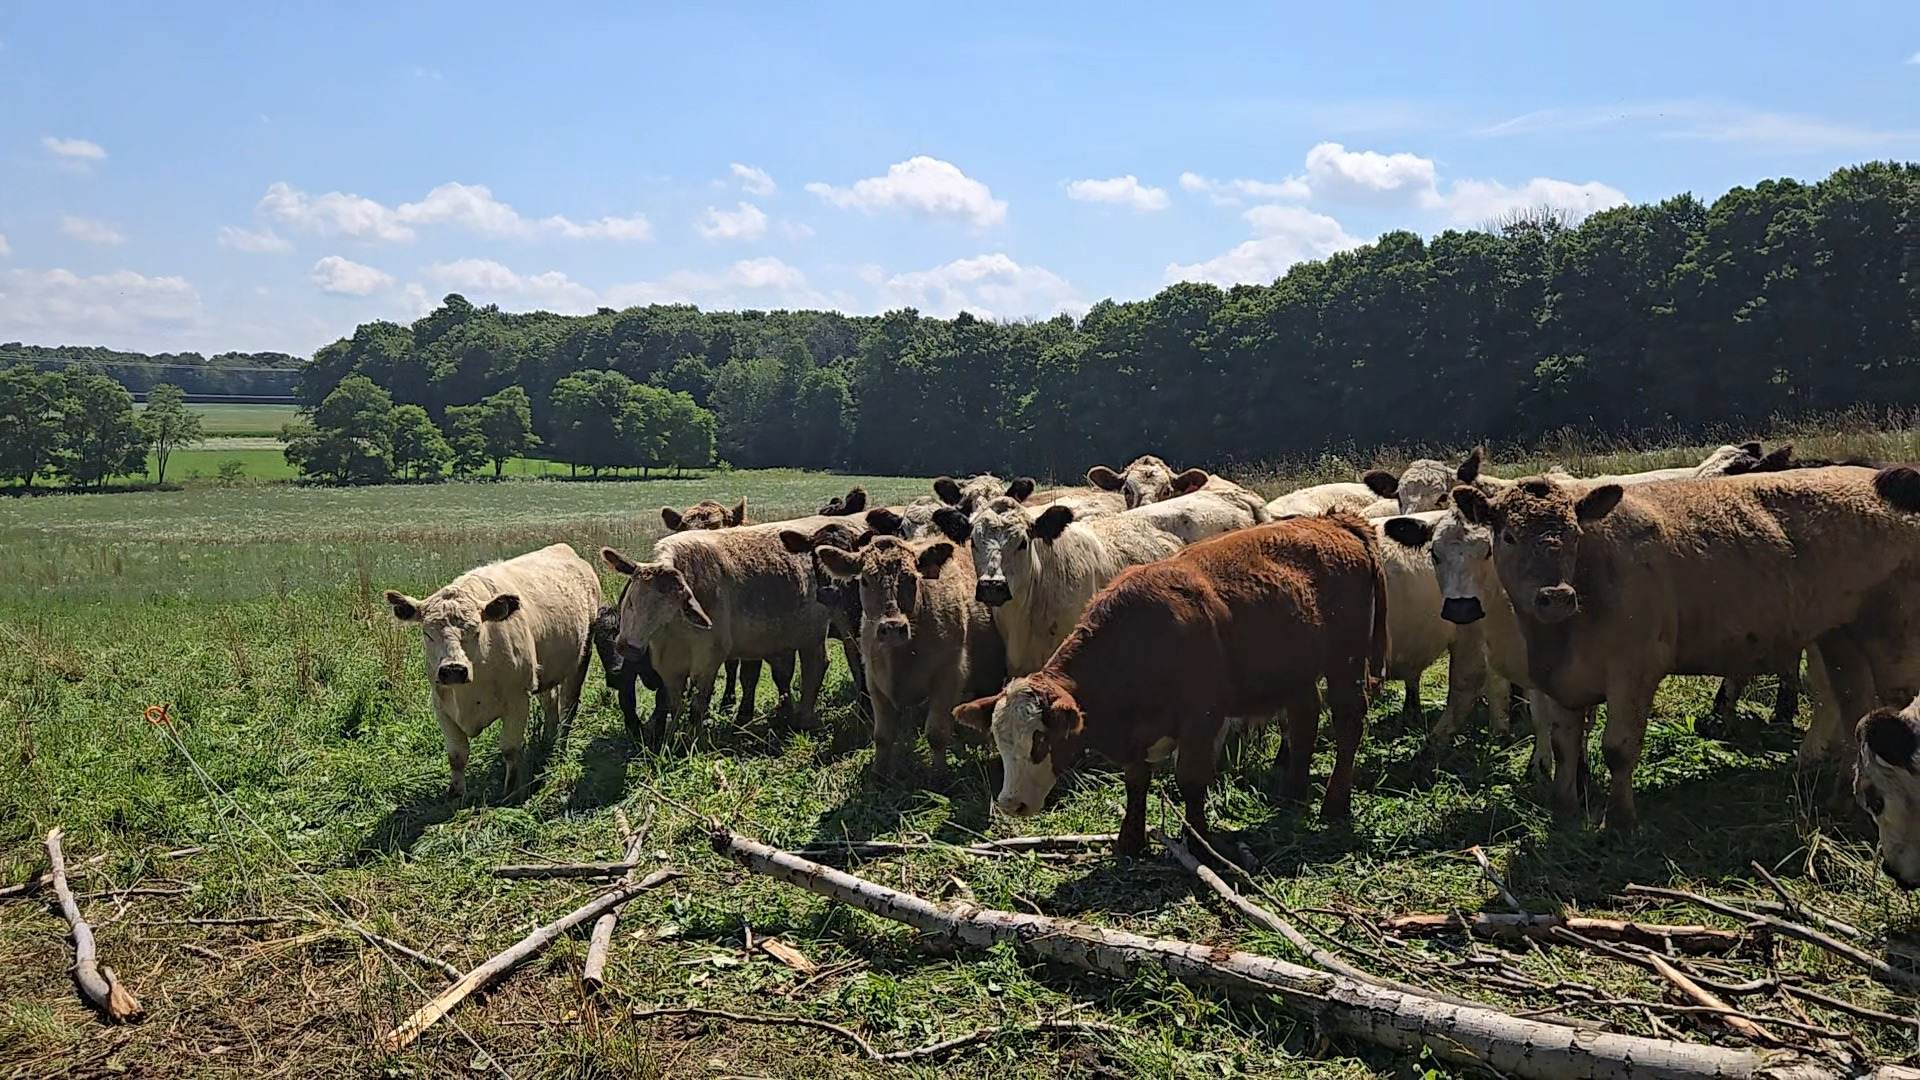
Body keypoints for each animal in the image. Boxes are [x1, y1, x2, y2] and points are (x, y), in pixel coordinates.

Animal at [385, 543, 599, 799]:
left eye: (476, 630)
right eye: (427, 633)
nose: (453, 669)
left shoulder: (518, 700)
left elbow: (510, 749)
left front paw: (510, 792)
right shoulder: (441, 707)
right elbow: (456, 755)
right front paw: (456, 794)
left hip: (581, 659)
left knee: (568, 707)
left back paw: (559, 746)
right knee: (551, 703)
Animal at [600, 515, 837, 748]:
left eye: (666, 609)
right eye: (631, 600)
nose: (627, 647)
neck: (674, 632)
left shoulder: (708, 661)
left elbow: (697, 705)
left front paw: (696, 742)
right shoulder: (668, 667)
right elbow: (673, 705)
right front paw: (671, 740)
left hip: (813, 636)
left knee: (814, 667)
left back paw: (804, 720)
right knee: (785, 672)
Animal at [810, 533, 1005, 777]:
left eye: (912, 579)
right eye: (864, 580)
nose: (893, 627)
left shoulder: (948, 678)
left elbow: (936, 733)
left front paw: (939, 774)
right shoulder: (874, 682)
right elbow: (882, 736)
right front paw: (878, 774)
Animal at [953, 513, 1387, 856]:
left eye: (1041, 740)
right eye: (1000, 740)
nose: (1010, 803)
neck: (1142, 639)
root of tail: (1336, 521)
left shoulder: (1201, 718)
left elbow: (1191, 780)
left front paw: (1198, 842)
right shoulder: (1135, 732)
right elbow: (1135, 780)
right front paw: (1130, 841)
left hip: (1346, 663)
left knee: (1348, 723)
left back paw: (1335, 803)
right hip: (1296, 670)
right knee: (1303, 721)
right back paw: (1292, 792)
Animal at [1451, 466, 1920, 829]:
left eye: (1573, 534)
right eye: (1508, 536)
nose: (1556, 596)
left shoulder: (1635, 669)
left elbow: (1618, 748)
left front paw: (1619, 820)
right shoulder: (1565, 681)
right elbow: (1566, 746)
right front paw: (1566, 809)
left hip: (1893, 637)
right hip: (1841, 636)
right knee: (1854, 709)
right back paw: (1840, 800)